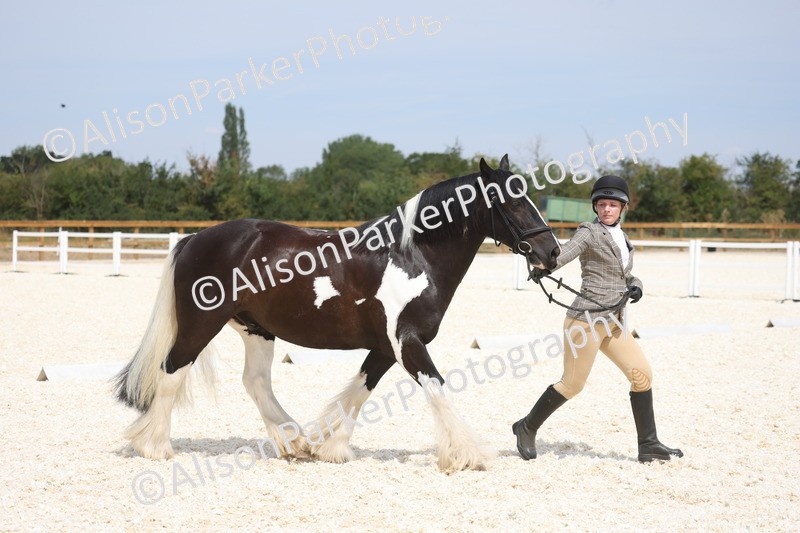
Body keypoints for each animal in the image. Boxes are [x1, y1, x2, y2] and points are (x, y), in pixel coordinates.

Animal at [114, 155, 561, 472]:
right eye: (512, 201)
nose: (552, 253)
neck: (411, 257)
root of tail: (194, 239)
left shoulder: (387, 348)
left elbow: (360, 390)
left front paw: (331, 447)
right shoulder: (407, 343)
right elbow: (436, 388)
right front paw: (467, 455)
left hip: (256, 329)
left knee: (255, 382)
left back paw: (294, 442)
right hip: (200, 324)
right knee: (171, 372)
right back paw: (155, 446)